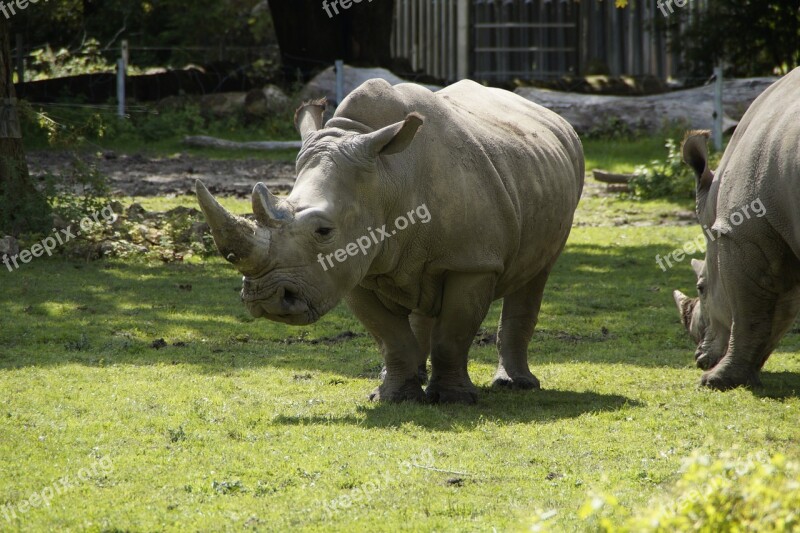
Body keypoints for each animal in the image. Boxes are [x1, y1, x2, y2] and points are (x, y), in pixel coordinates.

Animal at [195, 79, 580, 404]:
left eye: (323, 231)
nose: (266, 300)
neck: (386, 179)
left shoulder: (473, 262)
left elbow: (453, 334)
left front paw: (455, 400)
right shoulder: (350, 268)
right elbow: (390, 337)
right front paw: (395, 398)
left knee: (536, 273)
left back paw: (516, 385)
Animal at [676, 67, 800, 390]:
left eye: (701, 287)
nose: (699, 359)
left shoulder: (743, 235)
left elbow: (749, 313)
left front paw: (716, 380)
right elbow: (779, 309)